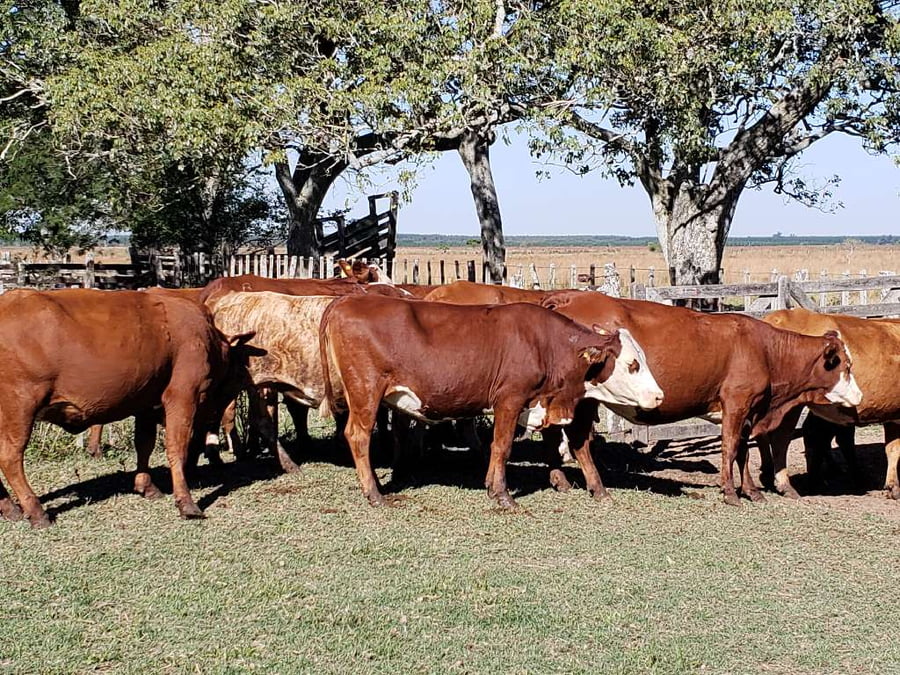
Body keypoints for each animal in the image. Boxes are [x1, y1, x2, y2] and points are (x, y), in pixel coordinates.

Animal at [0, 289, 252, 527]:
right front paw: (186, 503)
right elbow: (177, 447)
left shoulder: (147, 403)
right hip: (20, 405)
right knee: (10, 457)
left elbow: (144, 444)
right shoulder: (183, 394)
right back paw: (35, 511)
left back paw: (10, 509)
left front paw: (146, 486)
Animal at [318, 295, 664, 509]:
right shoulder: (510, 400)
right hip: (366, 392)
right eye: (632, 364)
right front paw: (502, 495)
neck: (547, 344)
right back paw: (374, 493)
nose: (659, 395)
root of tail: (348, 300)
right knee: (358, 436)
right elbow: (502, 446)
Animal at [540, 291, 863, 505]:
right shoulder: (736, 404)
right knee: (578, 439)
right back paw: (598, 488)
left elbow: (743, 451)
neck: (765, 350)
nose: (859, 396)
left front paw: (751, 491)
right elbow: (730, 448)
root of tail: (568, 298)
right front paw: (731, 493)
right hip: (584, 399)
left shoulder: (749, 410)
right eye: (846, 366)